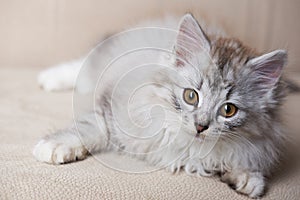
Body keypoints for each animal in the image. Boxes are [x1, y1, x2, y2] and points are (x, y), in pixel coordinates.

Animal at [33, 14, 288, 198]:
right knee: (82, 69)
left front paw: (249, 178)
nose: (200, 126)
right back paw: (49, 78)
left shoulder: (255, 144)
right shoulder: (112, 107)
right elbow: (92, 128)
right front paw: (56, 146)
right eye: (191, 96)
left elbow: (241, 159)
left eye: (228, 110)